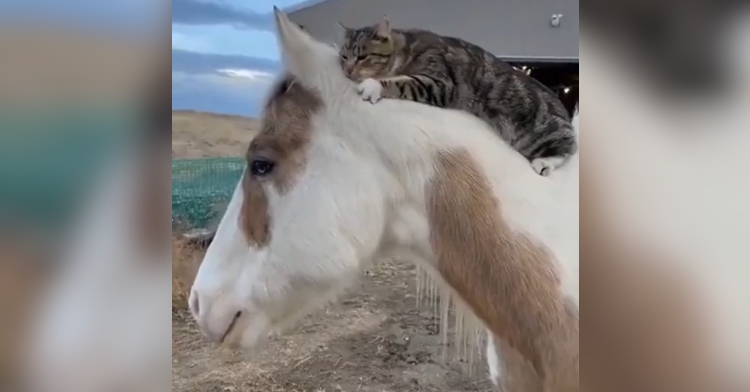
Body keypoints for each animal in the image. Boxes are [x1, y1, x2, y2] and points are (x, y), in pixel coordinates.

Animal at [338, 17, 580, 176]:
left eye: (362, 57)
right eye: (344, 56)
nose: (348, 70)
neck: (406, 50)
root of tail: (563, 111)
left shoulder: (440, 83)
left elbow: (402, 82)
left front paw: (373, 86)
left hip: (541, 135)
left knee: (567, 148)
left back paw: (545, 162)